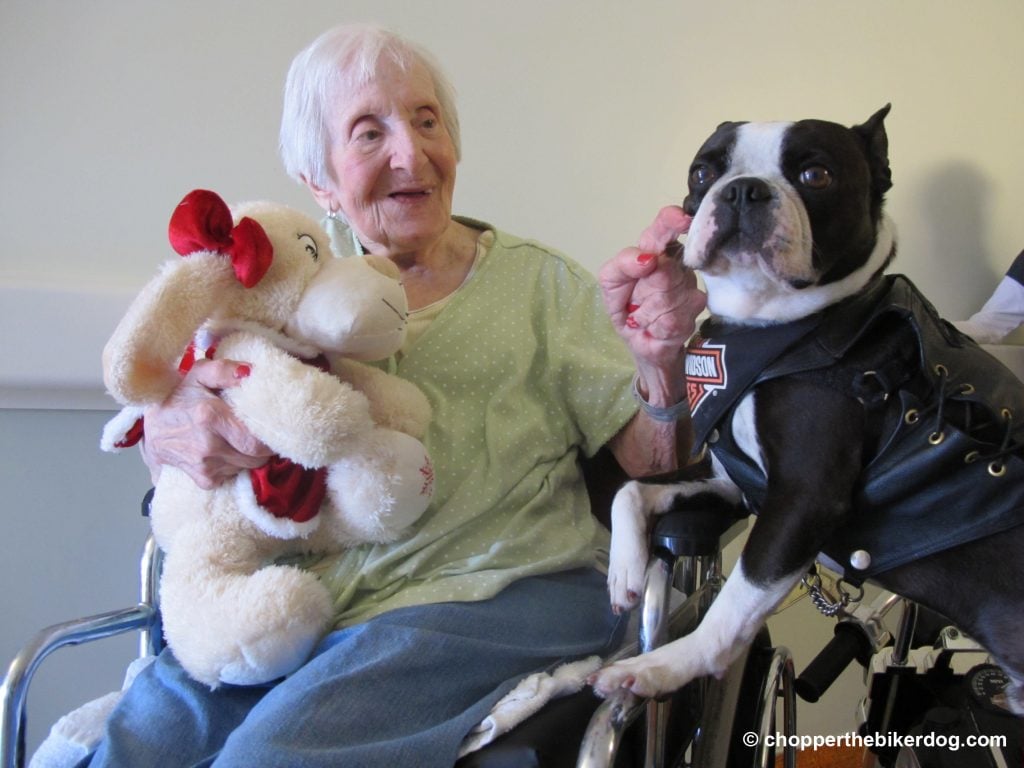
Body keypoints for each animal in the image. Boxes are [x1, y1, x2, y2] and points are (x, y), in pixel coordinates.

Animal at [589, 103, 1024, 716]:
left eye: (816, 175)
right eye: (704, 172)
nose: (742, 190)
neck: (771, 328)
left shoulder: (803, 498)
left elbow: (735, 600)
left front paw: (661, 667)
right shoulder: (732, 479)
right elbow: (632, 488)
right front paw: (625, 570)